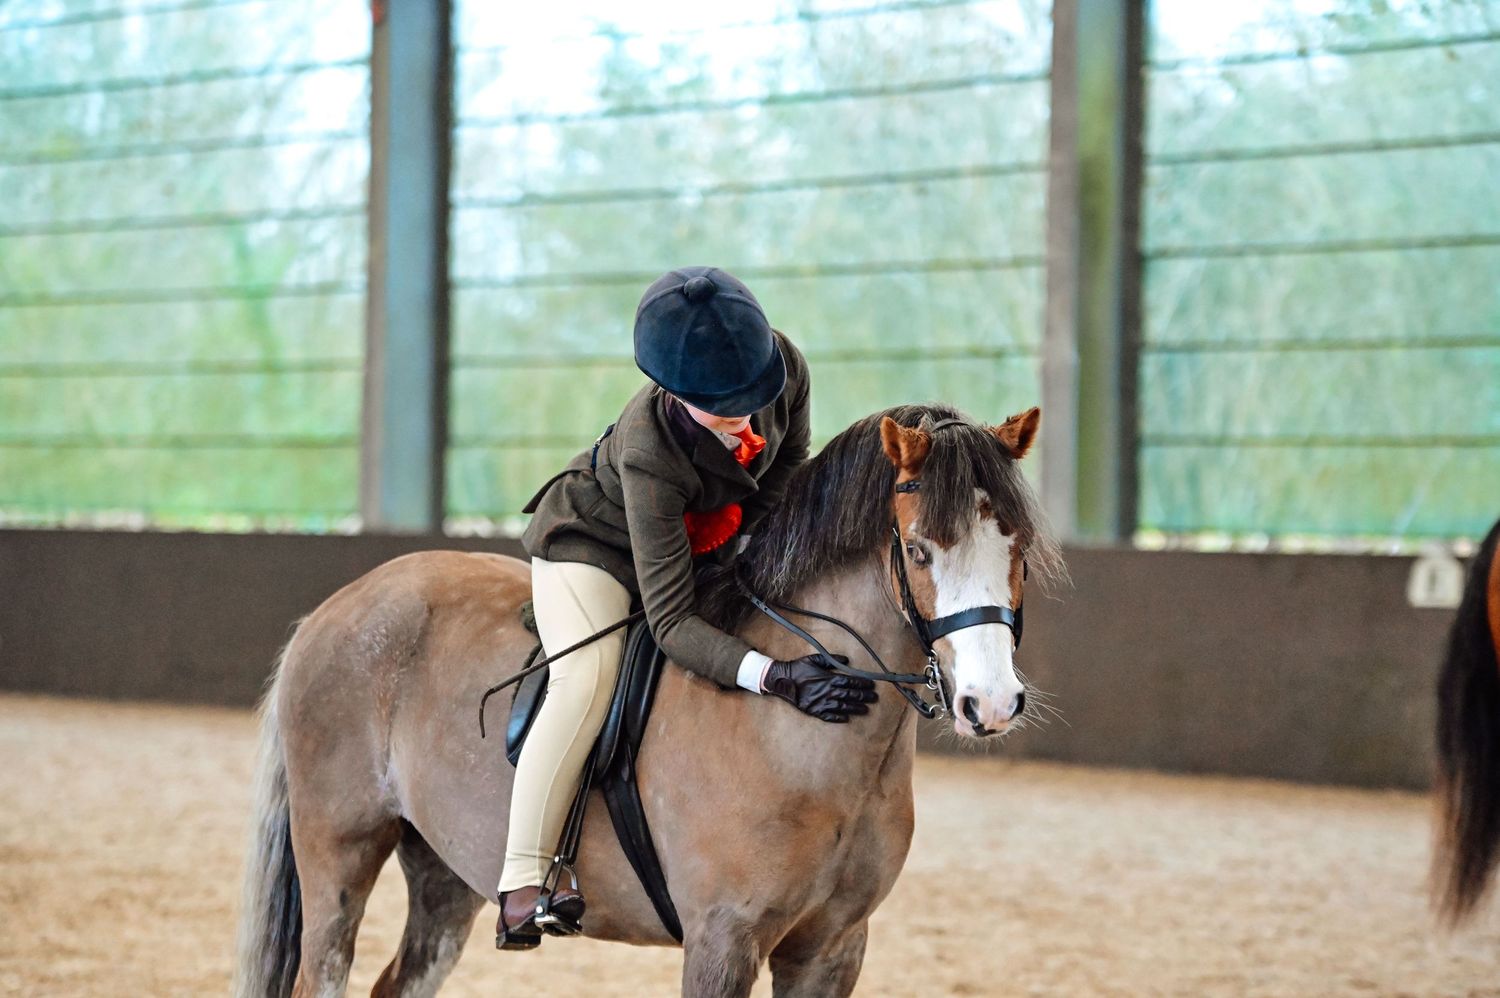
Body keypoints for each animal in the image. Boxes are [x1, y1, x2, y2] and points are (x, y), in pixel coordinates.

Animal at [233, 401, 1061, 998]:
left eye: (1015, 547)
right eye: (918, 551)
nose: (990, 703)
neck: (804, 738)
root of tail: (337, 607)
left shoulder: (832, 948)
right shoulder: (723, 942)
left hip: (443, 874)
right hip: (340, 855)